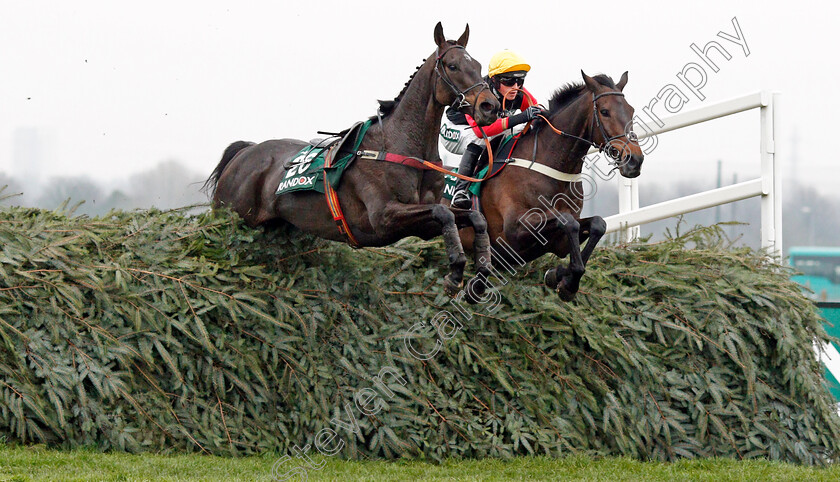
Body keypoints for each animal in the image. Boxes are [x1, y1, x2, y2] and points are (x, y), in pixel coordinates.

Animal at [204, 24, 498, 296]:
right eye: (452, 66)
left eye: (478, 65)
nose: (490, 106)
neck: (401, 145)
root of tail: (245, 153)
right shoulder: (384, 218)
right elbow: (444, 212)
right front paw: (456, 271)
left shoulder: (423, 224)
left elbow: (474, 217)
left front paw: (481, 272)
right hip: (231, 216)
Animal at [452, 70, 644, 302]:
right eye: (605, 111)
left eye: (631, 110)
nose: (634, 161)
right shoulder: (513, 230)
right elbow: (569, 222)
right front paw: (567, 281)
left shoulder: (559, 242)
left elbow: (597, 224)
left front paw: (562, 278)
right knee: (475, 141)